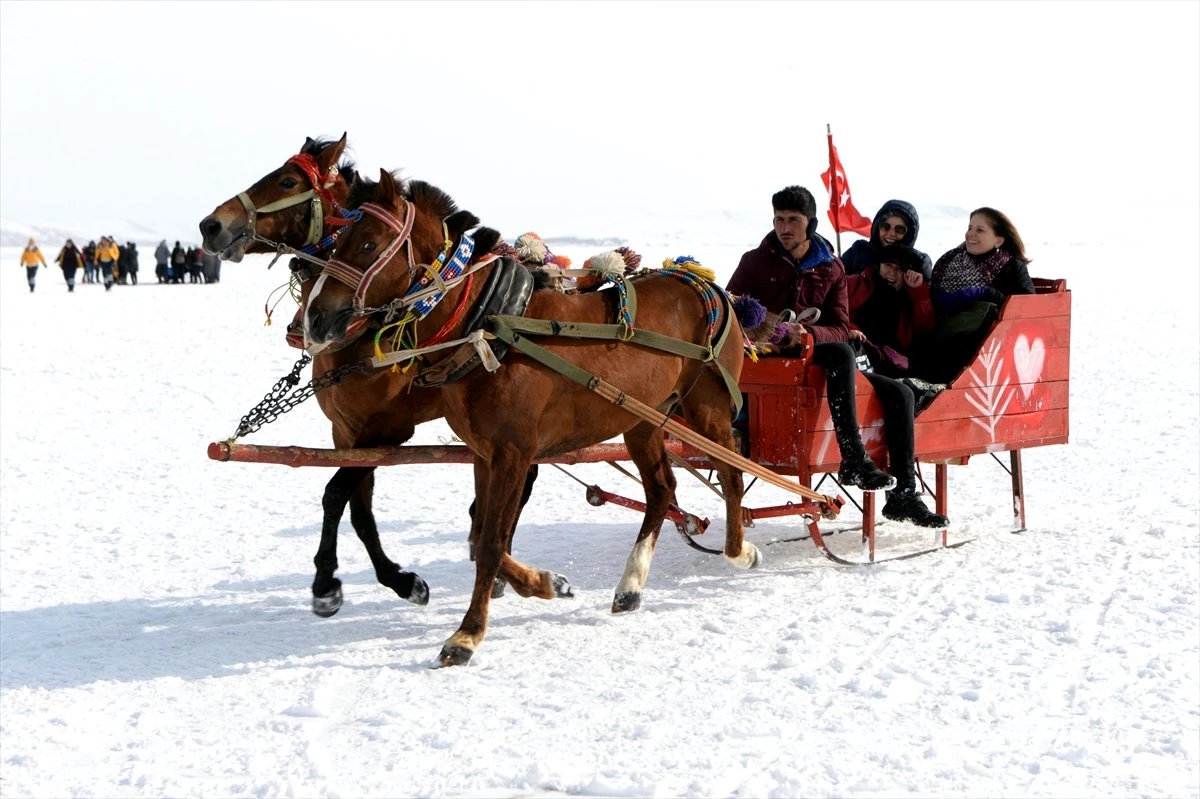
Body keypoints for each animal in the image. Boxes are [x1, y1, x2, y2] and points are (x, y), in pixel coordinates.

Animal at [309, 169, 758, 667]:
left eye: (368, 244)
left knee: (732, 475)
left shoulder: (513, 452)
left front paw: (466, 635)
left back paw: (740, 551)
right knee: (662, 490)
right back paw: (630, 585)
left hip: (706, 410)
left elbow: (488, 543)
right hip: (643, 420)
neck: (489, 326)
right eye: (338, 240)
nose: (314, 318)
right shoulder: (483, 454)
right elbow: (484, 533)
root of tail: (705, 284)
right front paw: (545, 583)